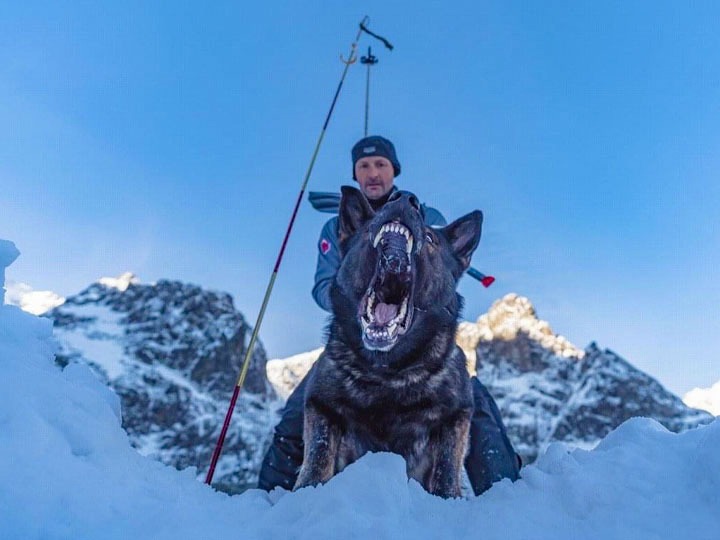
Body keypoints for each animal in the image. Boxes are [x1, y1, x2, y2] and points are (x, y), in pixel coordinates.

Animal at [292, 187, 484, 498]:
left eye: (431, 238)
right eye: (370, 225)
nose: (405, 200)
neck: (387, 373)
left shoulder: (456, 416)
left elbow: (446, 470)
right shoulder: (321, 406)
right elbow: (317, 459)